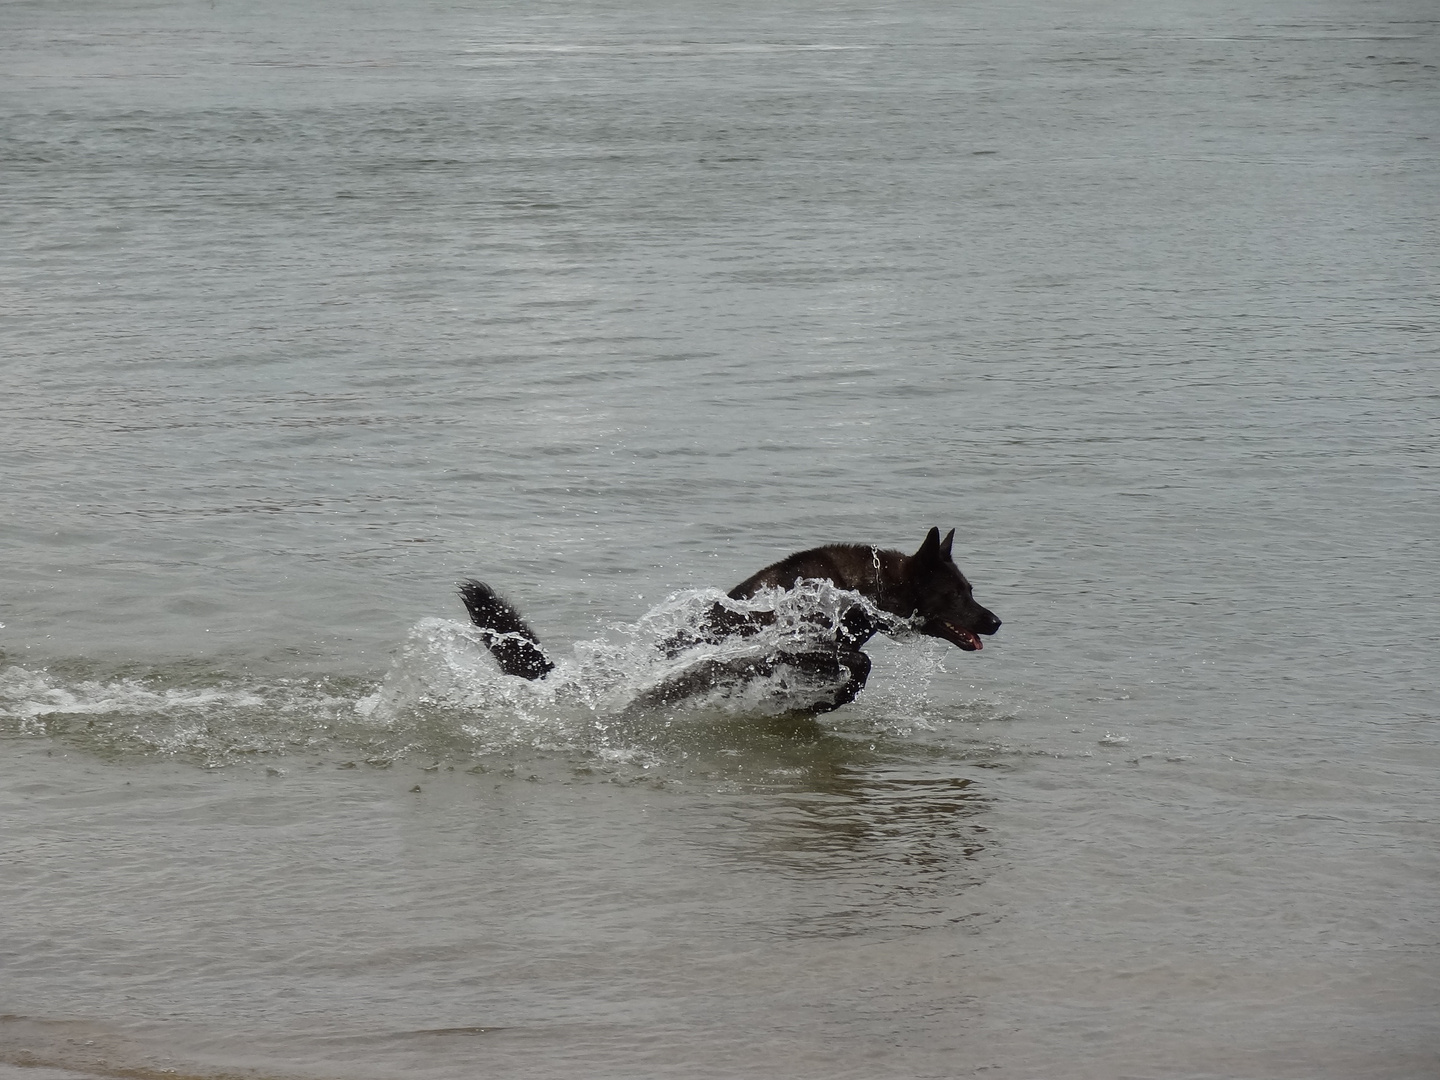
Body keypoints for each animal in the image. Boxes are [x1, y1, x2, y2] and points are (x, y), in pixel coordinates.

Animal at [460, 529, 1002, 714]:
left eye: (971, 590)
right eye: (957, 594)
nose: (996, 621)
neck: (858, 590)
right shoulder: (795, 645)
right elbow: (858, 663)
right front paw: (821, 703)